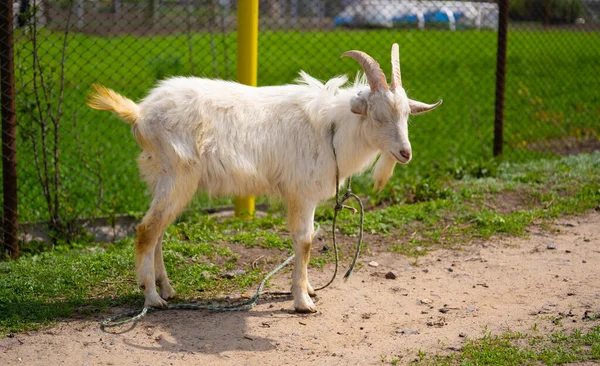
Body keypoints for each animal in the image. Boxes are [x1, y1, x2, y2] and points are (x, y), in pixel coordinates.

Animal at [86, 43, 440, 312]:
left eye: (406, 115)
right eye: (378, 116)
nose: (405, 153)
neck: (333, 129)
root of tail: (140, 114)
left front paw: (308, 289)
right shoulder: (301, 193)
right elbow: (305, 240)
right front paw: (303, 302)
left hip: (163, 179)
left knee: (158, 231)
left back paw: (167, 289)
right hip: (179, 177)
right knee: (147, 230)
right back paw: (152, 298)